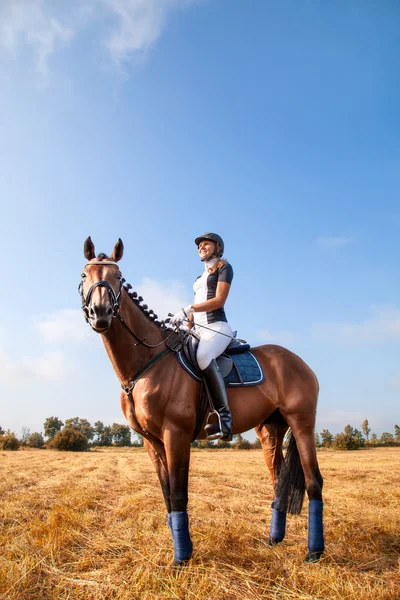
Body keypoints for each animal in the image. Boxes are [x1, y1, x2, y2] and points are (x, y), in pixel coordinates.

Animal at [79, 238, 324, 564]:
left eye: (118, 277)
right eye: (84, 275)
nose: (100, 313)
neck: (145, 364)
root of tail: (300, 362)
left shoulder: (176, 434)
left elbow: (178, 493)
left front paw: (181, 558)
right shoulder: (151, 441)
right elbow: (167, 494)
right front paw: (181, 550)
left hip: (302, 423)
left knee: (313, 481)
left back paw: (314, 552)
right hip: (270, 429)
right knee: (278, 480)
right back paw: (274, 539)